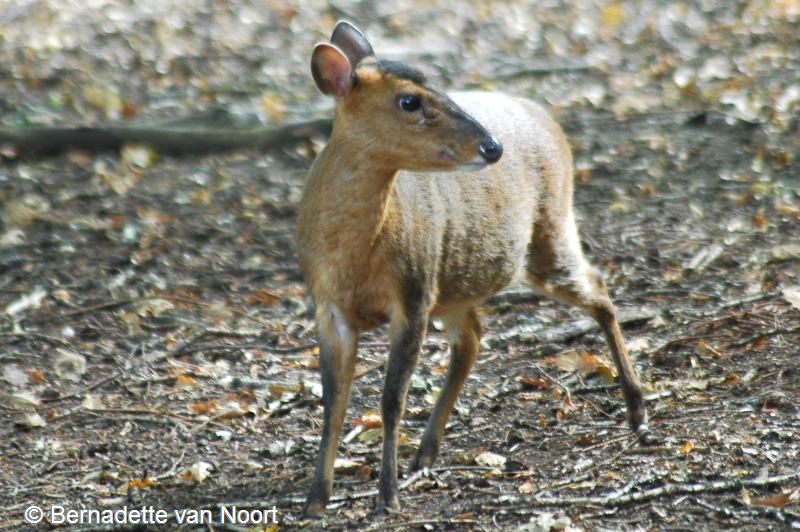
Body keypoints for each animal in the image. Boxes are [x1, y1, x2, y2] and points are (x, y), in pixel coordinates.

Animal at [294, 20, 648, 516]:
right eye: (409, 101)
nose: (492, 145)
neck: (354, 257)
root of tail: (547, 117)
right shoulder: (328, 306)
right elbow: (333, 402)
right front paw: (315, 499)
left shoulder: (414, 290)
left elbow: (391, 398)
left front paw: (387, 497)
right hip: (458, 283)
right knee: (474, 337)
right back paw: (426, 452)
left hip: (548, 229)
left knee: (597, 289)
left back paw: (638, 411)